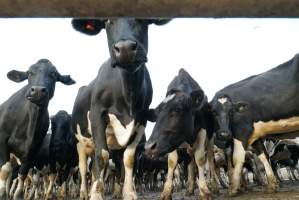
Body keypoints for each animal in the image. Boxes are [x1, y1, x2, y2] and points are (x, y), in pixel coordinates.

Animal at [0, 58, 76, 199]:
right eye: (29, 73)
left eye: (53, 74)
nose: (38, 91)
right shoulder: (2, 142)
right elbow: (5, 171)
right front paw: (3, 194)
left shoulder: (32, 151)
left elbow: (22, 177)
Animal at [71, 18, 171, 199]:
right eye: (107, 22)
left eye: (143, 20)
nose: (124, 48)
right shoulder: (97, 114)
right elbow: (102, 156)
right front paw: (96, 195)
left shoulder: (141, 118)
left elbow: (128, 159)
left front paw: (128, 193)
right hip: (79, 143)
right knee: (84, 168)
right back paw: (84, 193)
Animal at [145, 69, 217, 200]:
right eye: (156, 115)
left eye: (177, 109)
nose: (149, 147)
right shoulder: (171, 141)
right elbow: (172, 162)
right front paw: (166, 192)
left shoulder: (202, 132)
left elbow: (200, 159)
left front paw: (205, 191)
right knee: (191, 162)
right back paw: (190, 188)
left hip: (210, 139)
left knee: (209, 159)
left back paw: (214, 186)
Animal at [210, 53, 299, 197]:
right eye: (213, 112)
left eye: (231, 112)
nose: (224, 134)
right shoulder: (255, 135)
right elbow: (263, 156)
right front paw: (272, 185)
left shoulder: (242, 131)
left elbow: (237, 159)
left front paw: (233, 188)